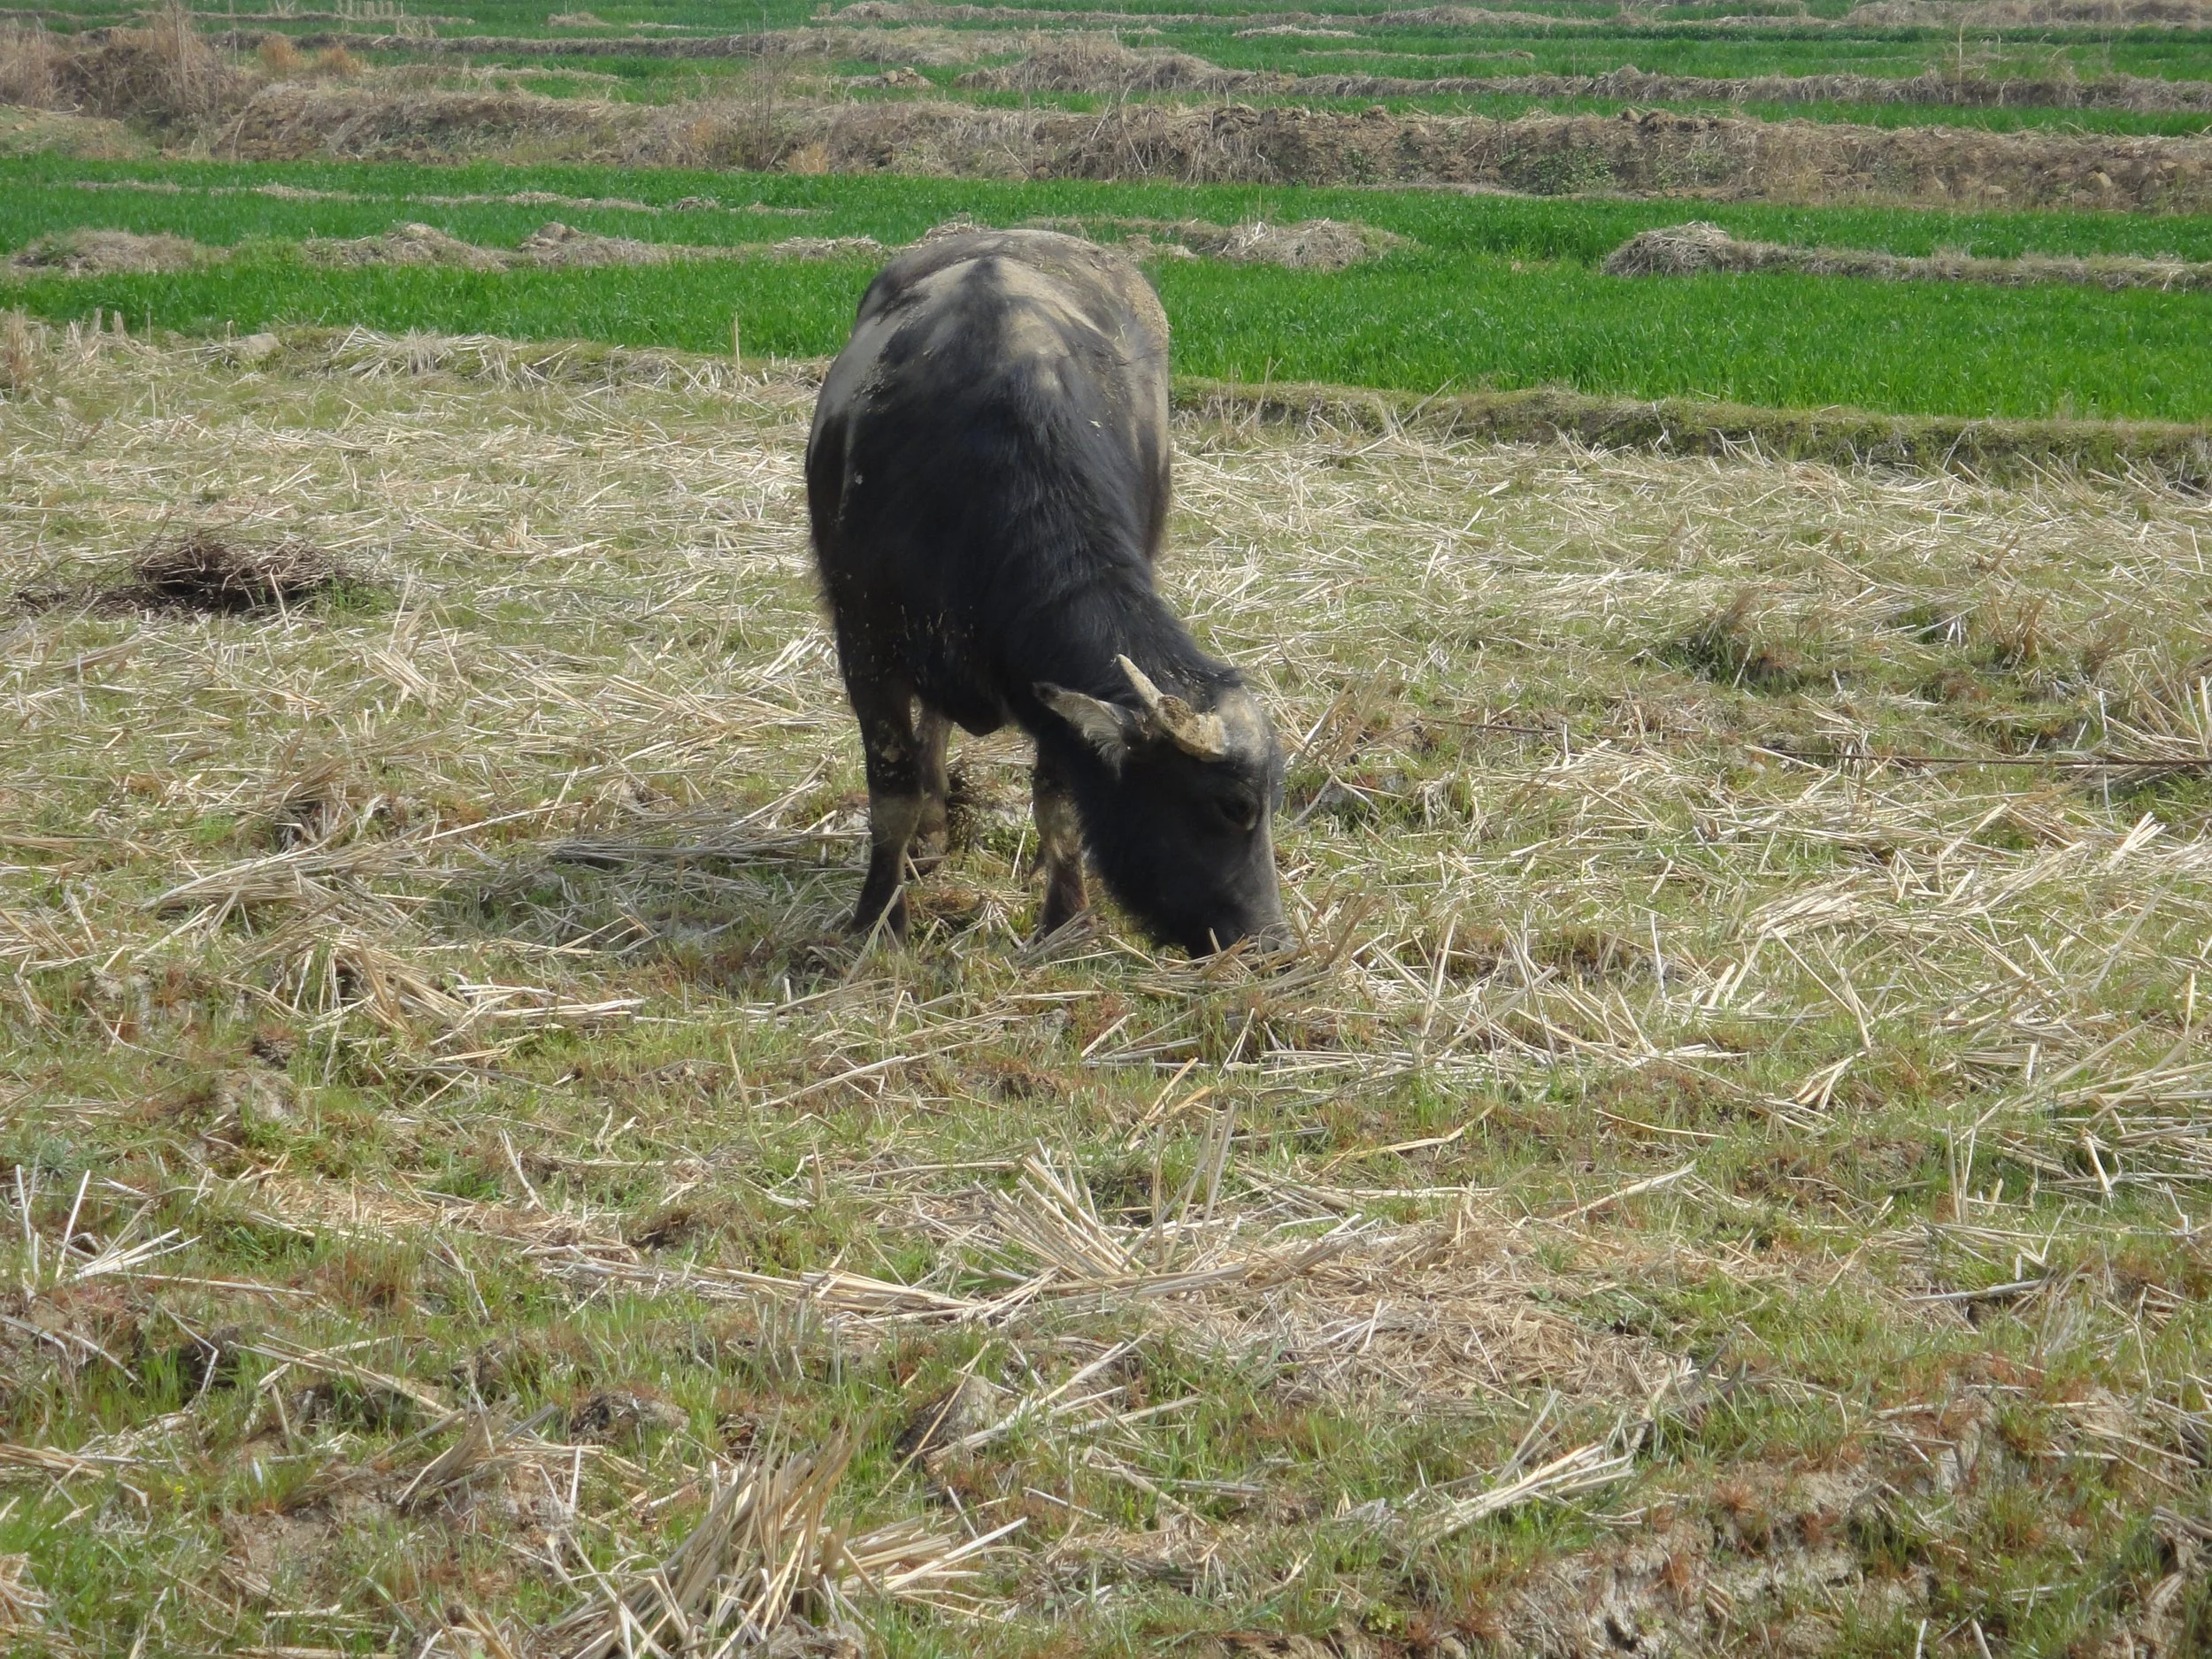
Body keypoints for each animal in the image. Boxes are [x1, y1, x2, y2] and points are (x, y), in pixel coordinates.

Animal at [804, 228, 1288, 957]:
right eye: (1234, 807)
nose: (1270, 942)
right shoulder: (864, 641)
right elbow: (891, 789)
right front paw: (879, 919)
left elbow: (1057, 796)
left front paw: (1066, 918)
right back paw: (930, 836)